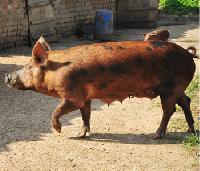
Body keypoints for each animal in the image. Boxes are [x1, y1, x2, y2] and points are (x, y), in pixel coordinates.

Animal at [5, 37, 197, 139]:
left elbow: (57, 110)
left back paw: (157, 135)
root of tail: (189, 54)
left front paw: (59, 131)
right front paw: (80, 135)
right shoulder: (85, 96)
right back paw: (191, 130)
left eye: (28, 67)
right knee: (186, 101)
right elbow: (85, 114)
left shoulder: (73, 96)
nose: (7, 76)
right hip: (178, 87)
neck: (56, 72)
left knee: (170, 109)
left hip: (169, 88)